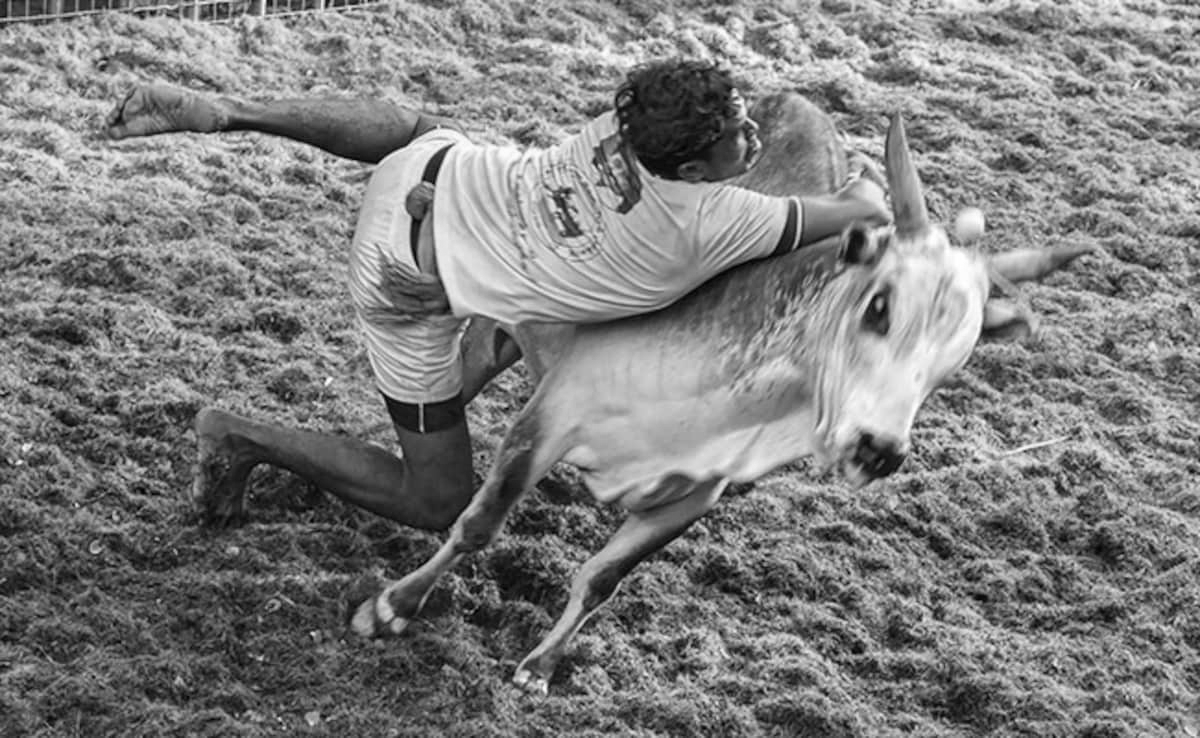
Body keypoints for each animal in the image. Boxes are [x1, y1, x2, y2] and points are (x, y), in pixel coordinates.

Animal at [348, 93, 1090, 695]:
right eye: (879, 306)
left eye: (956, 359)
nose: (878, 450)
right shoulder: (551, 418)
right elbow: (478, 522)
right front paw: (394, 607)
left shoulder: (696, 492)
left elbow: (604, 578)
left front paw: (541, 666)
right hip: (495, 331)